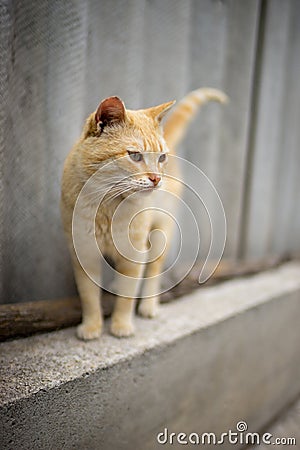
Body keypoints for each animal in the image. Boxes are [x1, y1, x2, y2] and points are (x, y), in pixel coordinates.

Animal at [61, 89, 226, 342]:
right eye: (135, 156)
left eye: (161, 158)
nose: (156, 178)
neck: (107, 206)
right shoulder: (83, 252)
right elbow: (89, 296)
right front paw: (91, 326)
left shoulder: (134, 253)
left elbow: (128, 296)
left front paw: (121, 325)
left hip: (160, 235)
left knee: (153, 271)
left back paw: (149, 306)